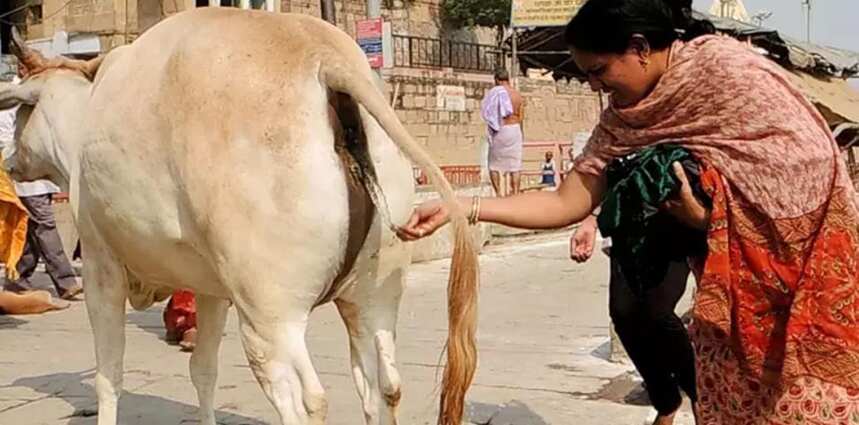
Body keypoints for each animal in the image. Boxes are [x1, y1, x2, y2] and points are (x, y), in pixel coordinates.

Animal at [0, 9, 480, 424]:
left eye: (21, 112)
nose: (10, 161)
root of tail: (325, 58)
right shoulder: (211, 288)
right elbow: (203, 370)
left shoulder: (102, 265)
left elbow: (108, 376)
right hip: (374, 295)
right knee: (383, 384)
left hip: (271, 314)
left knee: (306, 398)